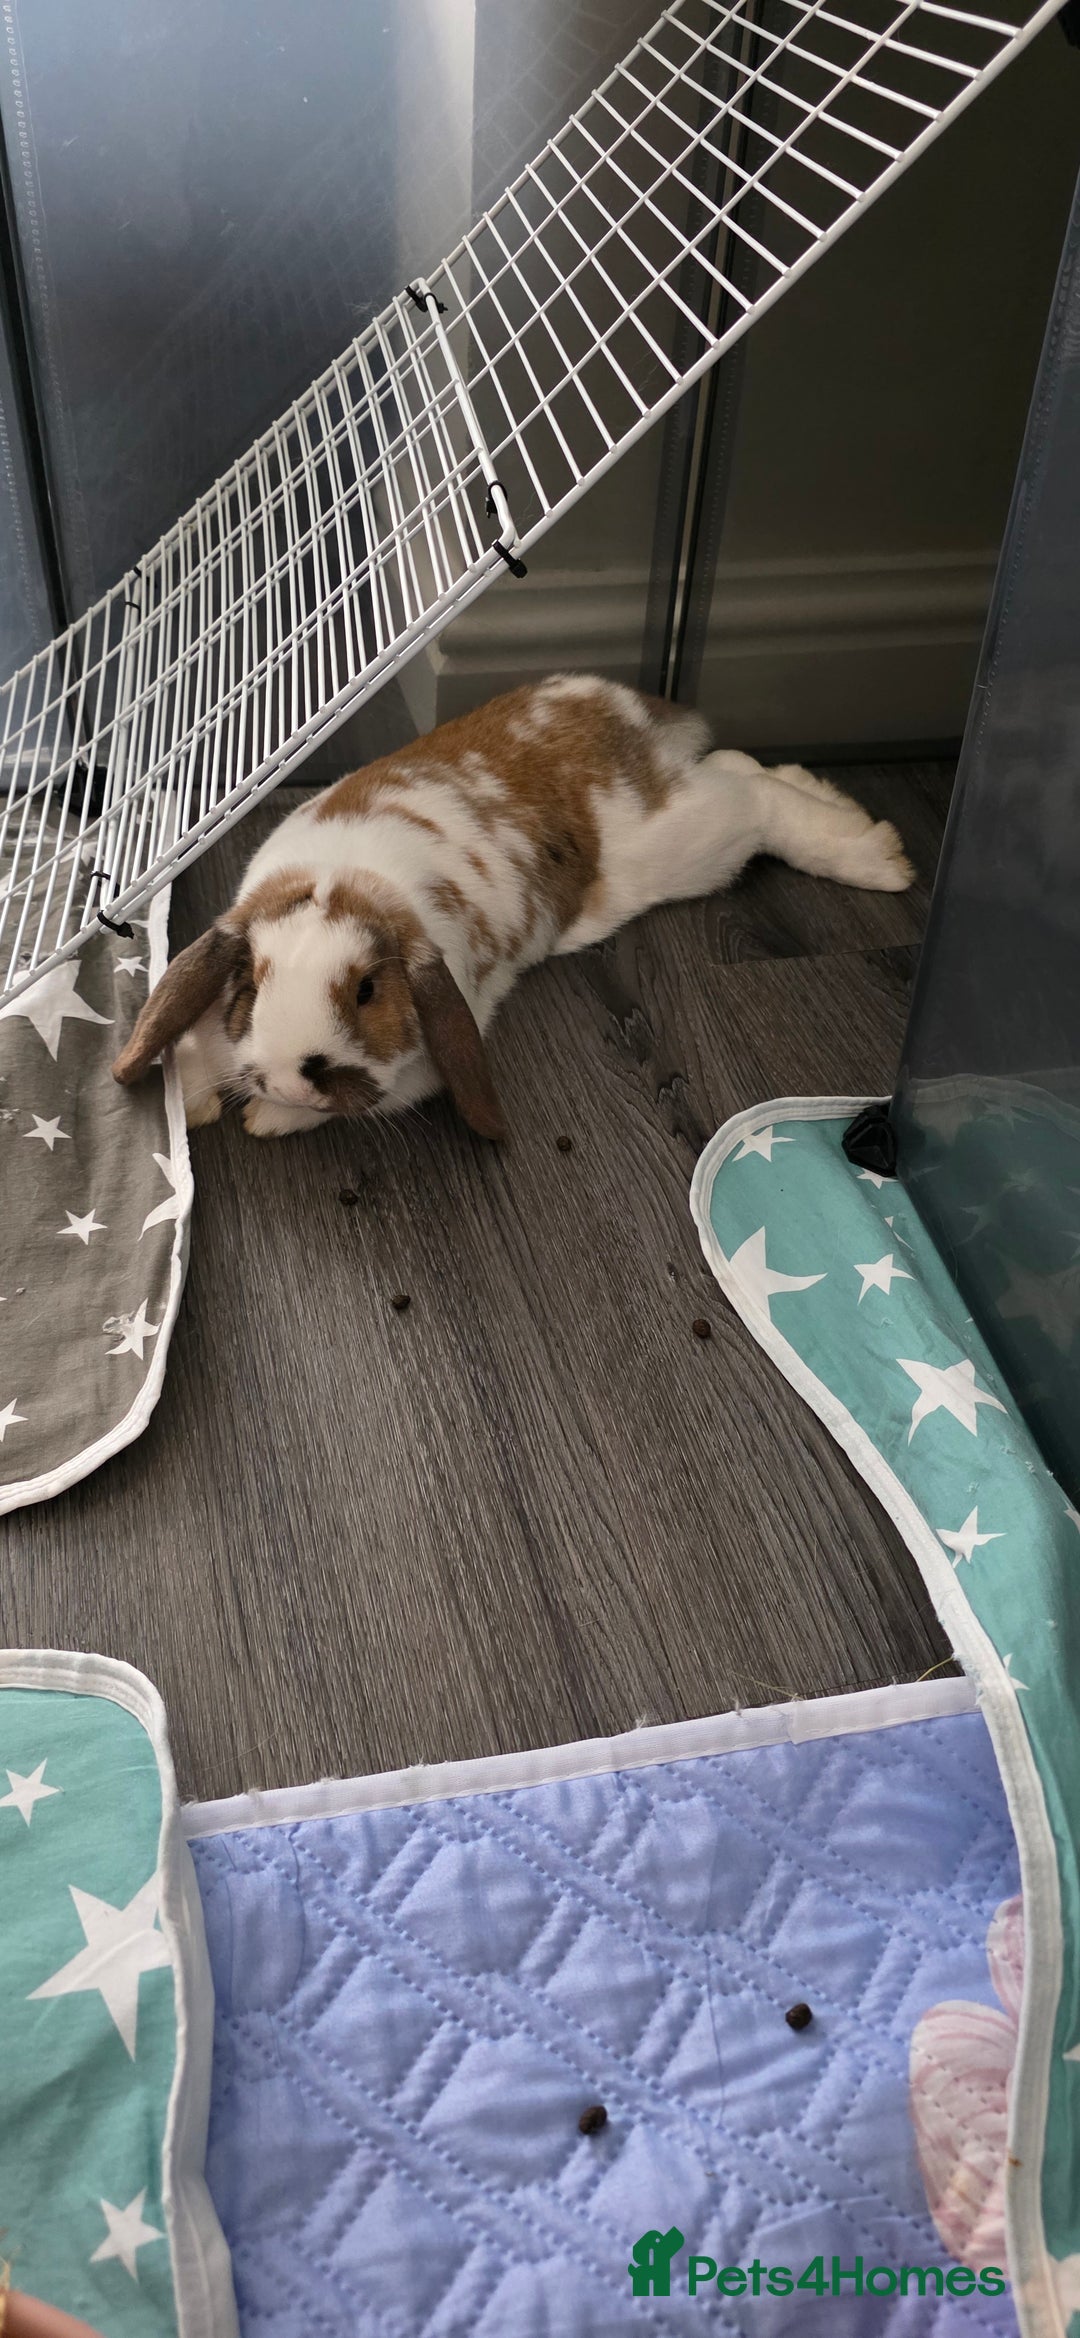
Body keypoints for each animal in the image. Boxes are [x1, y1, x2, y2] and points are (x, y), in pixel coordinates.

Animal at [112, 673, 913, 1140]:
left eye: (368, 991)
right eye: (250, 985)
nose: (284, 1077)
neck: (349, 878)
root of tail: (613, 703)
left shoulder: (428, 1053)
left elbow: (377, 1096)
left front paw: (265, 1116)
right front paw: (197, 1095)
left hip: (687, 846)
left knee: (755, 799)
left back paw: (878, 854)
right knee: (743, 768)